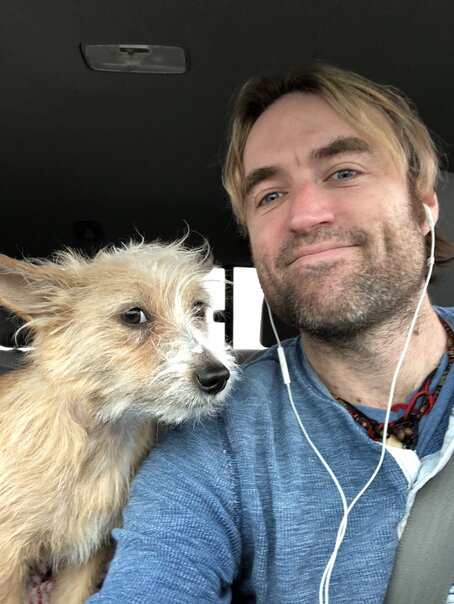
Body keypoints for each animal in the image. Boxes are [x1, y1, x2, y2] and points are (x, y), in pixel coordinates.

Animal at [0, 239, 237, 603]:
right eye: (133, 316)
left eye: (198, 308)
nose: (217, 377)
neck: (100, 439)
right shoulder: (9, 561)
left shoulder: (87, 553)